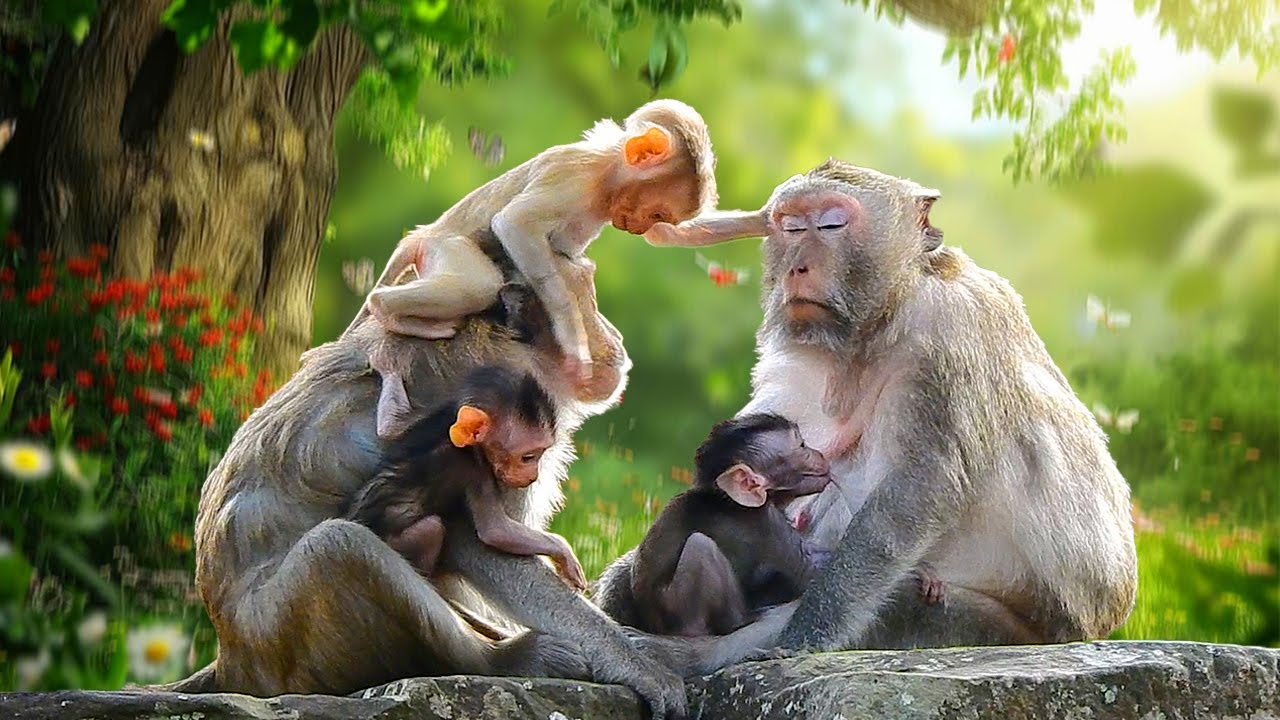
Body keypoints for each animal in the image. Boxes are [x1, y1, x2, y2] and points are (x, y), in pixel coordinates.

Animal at [343, 365, 587, 591]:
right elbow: (496, 531)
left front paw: (388, 373)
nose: (533, 475)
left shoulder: (438, 413)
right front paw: (563, 551)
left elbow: (389, 427)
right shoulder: (475, 467)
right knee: (431, 528)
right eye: (528, 457)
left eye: (542, 453)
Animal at [345, 99, 768, 440]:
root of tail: (422, 235)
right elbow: (516, 223)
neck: (605, 176)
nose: (638, 226)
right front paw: (572, 338)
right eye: (658, 210)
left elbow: (665, 239)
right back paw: (390, 309)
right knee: (478, 283)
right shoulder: (574, 176)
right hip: (445, 249)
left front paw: (762, 219)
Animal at [627, 413, 831, 637]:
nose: (820, 454)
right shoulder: (767, 523)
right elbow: (810, 573)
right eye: (802, 445)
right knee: (700, 546)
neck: (729, 499)